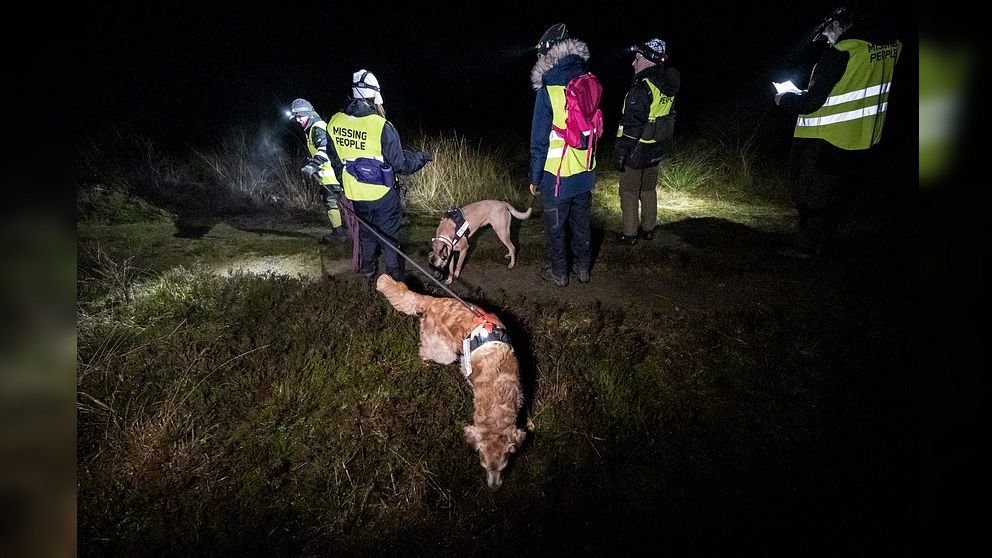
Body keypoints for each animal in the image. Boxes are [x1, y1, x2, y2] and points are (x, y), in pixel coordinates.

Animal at [376, 274, 528, 490]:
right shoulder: (467, 367)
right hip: (444, 352)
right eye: (483, 466)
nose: (493, 489)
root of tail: (432, 301)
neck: (496, 392)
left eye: (504, 467)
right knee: (424, 350)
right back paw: (425, 364)